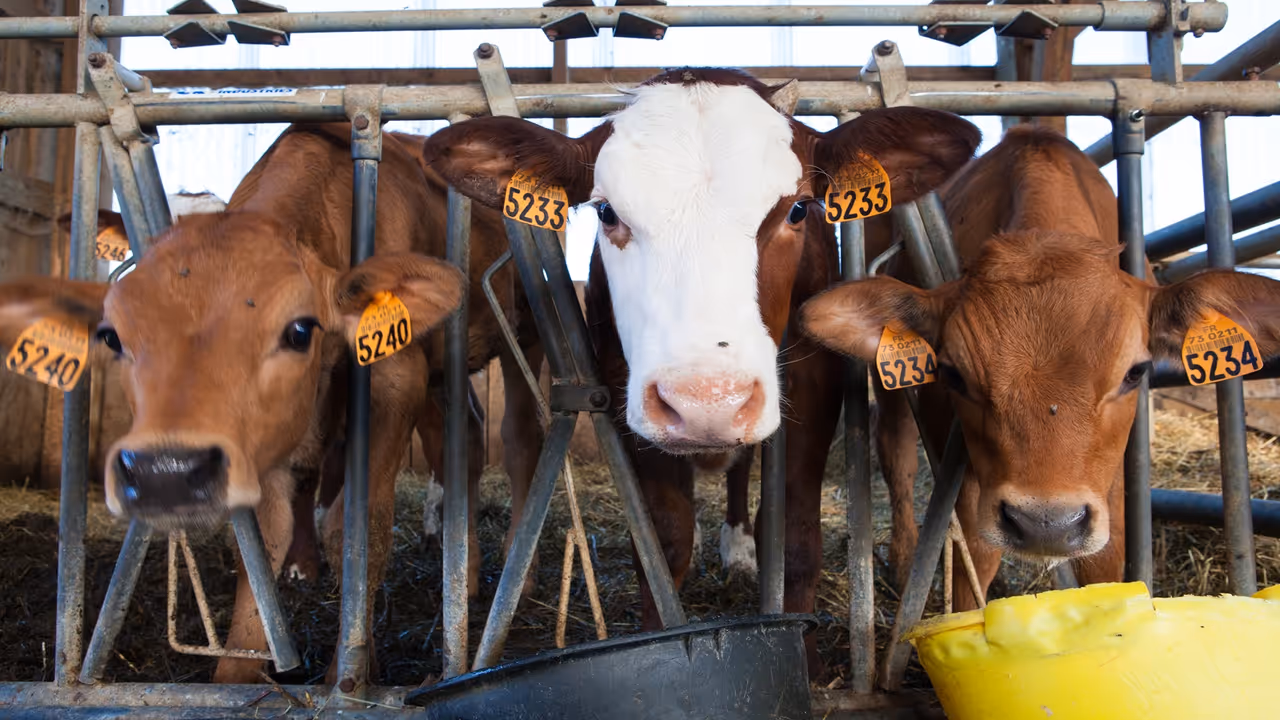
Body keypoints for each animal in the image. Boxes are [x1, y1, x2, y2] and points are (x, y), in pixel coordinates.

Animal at [5, 121, 548, 684]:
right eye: (113, 336)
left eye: (299, 330)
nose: (165, 473)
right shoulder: (261, 432)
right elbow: (263, 539)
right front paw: (238, 670)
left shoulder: (396, 381)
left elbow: (359, 528)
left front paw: (351, 672)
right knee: (462, 441)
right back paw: (465, 575)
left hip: (527, 326)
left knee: (520, 439)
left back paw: (519, 576)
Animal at [423, 67, 981, 673]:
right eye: (607, 211)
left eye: (799, 209)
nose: (707, 401)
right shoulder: (626, 390)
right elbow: (663, 545)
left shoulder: (815, 387)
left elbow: (796, 537)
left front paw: (806, 660)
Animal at [800, 126, 1280, 610]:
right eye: (954, 374)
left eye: (1136, 372)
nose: (1046, 524)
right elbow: (977, 559)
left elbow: (1104, 559)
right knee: (896, 447)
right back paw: (902, 564)